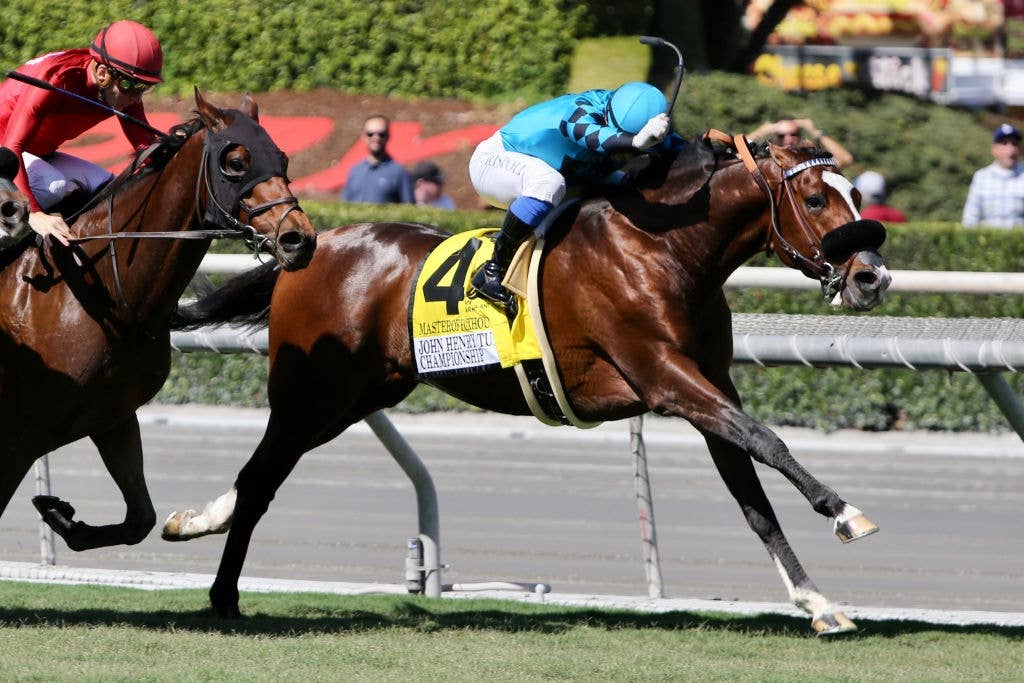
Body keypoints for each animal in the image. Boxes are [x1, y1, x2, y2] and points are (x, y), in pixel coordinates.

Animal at [0, 89, 316, 556]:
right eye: (235, 162)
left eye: (282, 159)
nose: (298, 239)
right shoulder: (18, 439)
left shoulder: (112, 416)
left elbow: (140, 520)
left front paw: (60, 514)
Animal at [164, 133, 891, 634]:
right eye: (817, 197)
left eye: (858, 195)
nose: (872, 276)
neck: (665, 250)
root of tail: (308, 246)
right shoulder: (666, 377)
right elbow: (769, 442)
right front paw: (845, 510)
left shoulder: (708, 388)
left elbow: (752, 496)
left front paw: (817, 600)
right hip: (311, 392)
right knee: (261, 475)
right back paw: (218, 580)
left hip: (359, 395)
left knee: (263, 474)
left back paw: (205, 539)